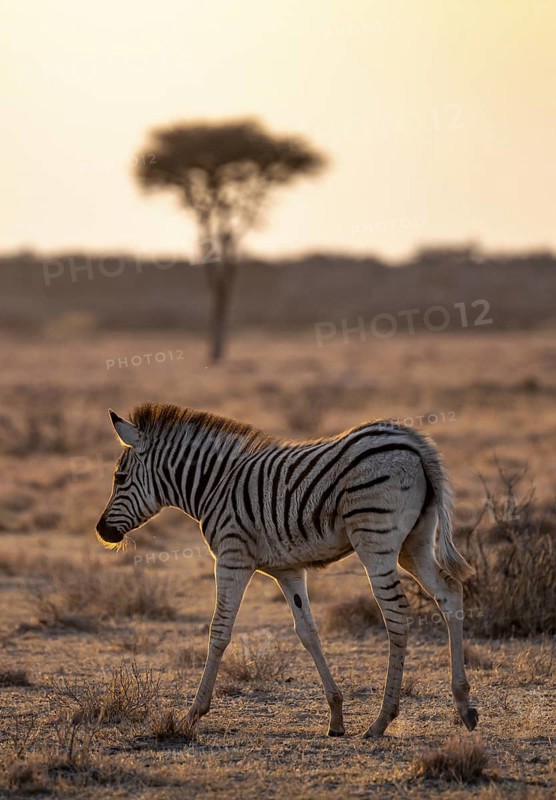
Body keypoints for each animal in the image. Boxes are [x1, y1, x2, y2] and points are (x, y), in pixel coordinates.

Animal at [96, 402, 478, 738]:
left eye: (119, 477)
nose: (101, 531)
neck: (214, 486)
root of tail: (412, 440)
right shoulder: (288, 570)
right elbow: (308, 632)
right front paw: (336, 715)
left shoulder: (233, 556)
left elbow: (219, 631)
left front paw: (193, 713)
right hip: (416, 542)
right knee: (449, 593)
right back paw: (464, 705)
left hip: (375, 540)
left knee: (397, 615)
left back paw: (382, 721)